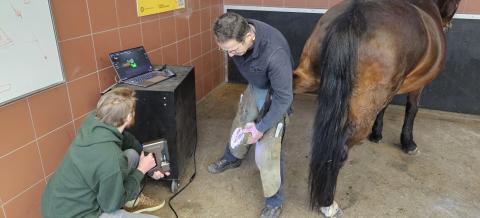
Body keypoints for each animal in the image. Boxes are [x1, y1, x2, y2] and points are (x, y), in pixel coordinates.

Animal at [292, 0, 462, 215]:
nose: (449, 23)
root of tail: (353, 15)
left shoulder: (388, 90)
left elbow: (384, 108)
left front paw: (377, 134)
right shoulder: (417, 85)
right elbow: (412, 109)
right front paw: (408, 143)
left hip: (306, 78)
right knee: (337, 151)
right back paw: (327, 203)